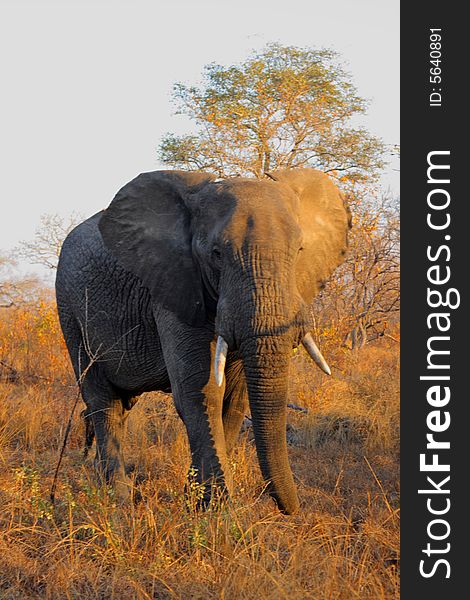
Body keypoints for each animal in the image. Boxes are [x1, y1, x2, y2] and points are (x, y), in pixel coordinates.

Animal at [56, 169, 348, 516]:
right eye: (217, 255)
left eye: (300, 250)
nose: (293, 509)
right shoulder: (173, 286)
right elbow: (201, 391)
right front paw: (217, 511)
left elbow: (233, 400)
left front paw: (195, 501)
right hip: (69, 309)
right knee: (102, 401)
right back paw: (120, 502)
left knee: (121, 405)